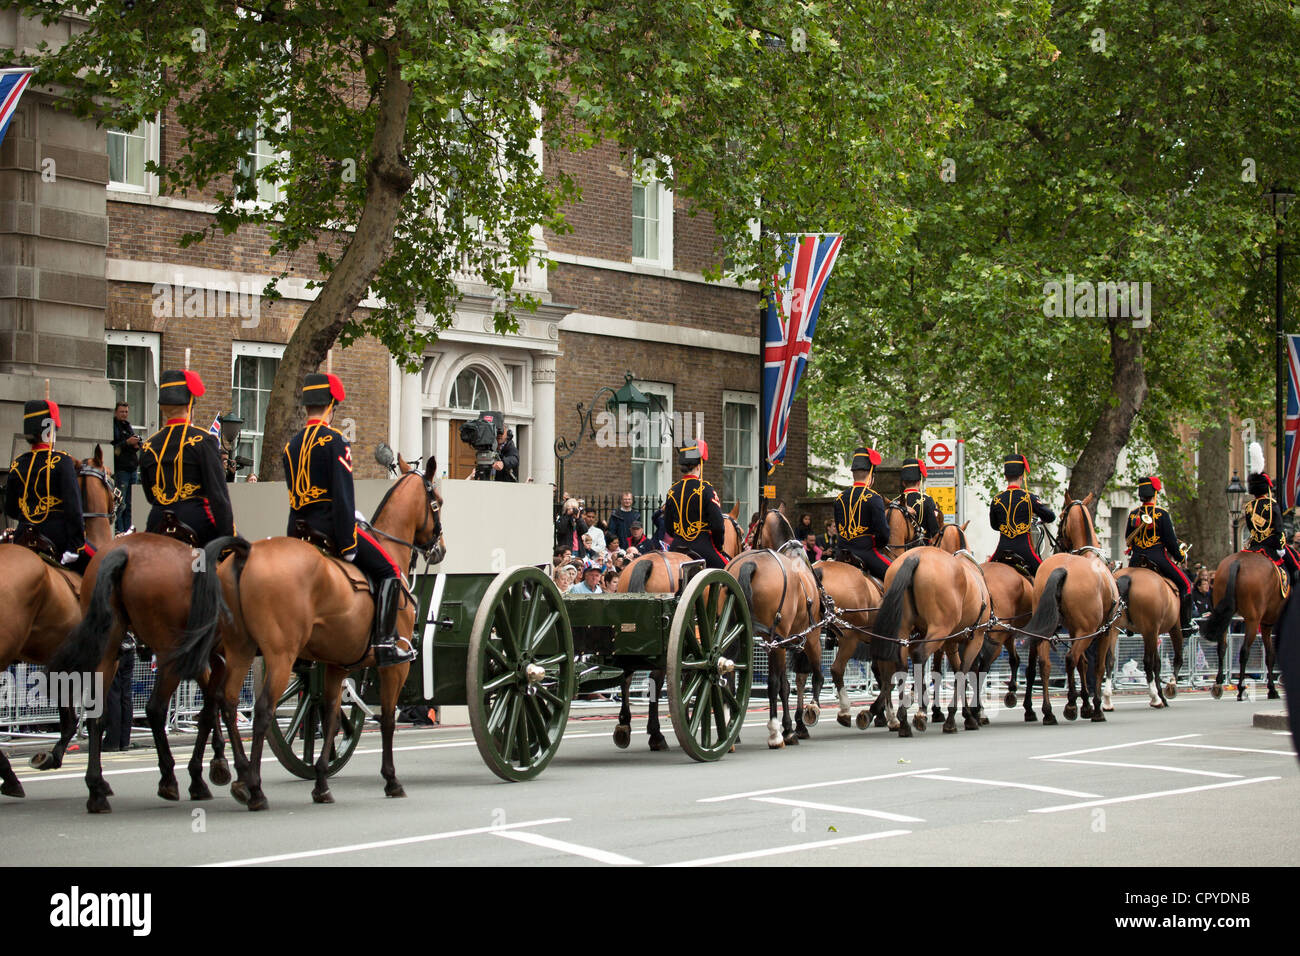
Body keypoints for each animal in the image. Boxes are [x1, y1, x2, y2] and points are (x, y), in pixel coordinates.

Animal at [0, 452, 118, 796]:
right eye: (110, 476)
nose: (119, 499)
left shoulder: (61, 659)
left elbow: (69, 718)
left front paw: (50, 756)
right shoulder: (104, 660)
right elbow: (94, 717)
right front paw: (96, 779)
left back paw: (9, 776)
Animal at [188, 455, 441, 806]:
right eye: (438, 502)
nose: (440, 549)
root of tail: (247, 552)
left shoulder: (336, 666)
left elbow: (331, 714)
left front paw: (321, 781)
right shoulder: (396, 667)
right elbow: (388, 719)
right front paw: (391, 779)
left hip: (239, 650)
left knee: (226, 703)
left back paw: (235, 777)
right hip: (280, 656)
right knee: (262, 710)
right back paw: (253, 787)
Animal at [1019, 494, 1123, 723]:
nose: (1058, 544)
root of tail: (1063, 568)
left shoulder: (1076, 631)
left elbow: (1083, 664)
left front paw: (1085, 703)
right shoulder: (1104, 631)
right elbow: (1098, 666)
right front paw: (1094, 706)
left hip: (1048, 631)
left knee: (1044, 663)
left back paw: (1048, 711)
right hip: (1087, 631)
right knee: (1070, 659)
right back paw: (1070, 706)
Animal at [1196, 548, 1279, 697]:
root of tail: (1238, 561)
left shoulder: (1266, 623)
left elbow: (1270, 654)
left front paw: (1271, 688)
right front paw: (1272, 689)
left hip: (1225, 616)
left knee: (1222, 647)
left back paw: (1218, 684)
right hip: (1252, 620)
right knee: (1244, 651)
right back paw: (1241, 688)